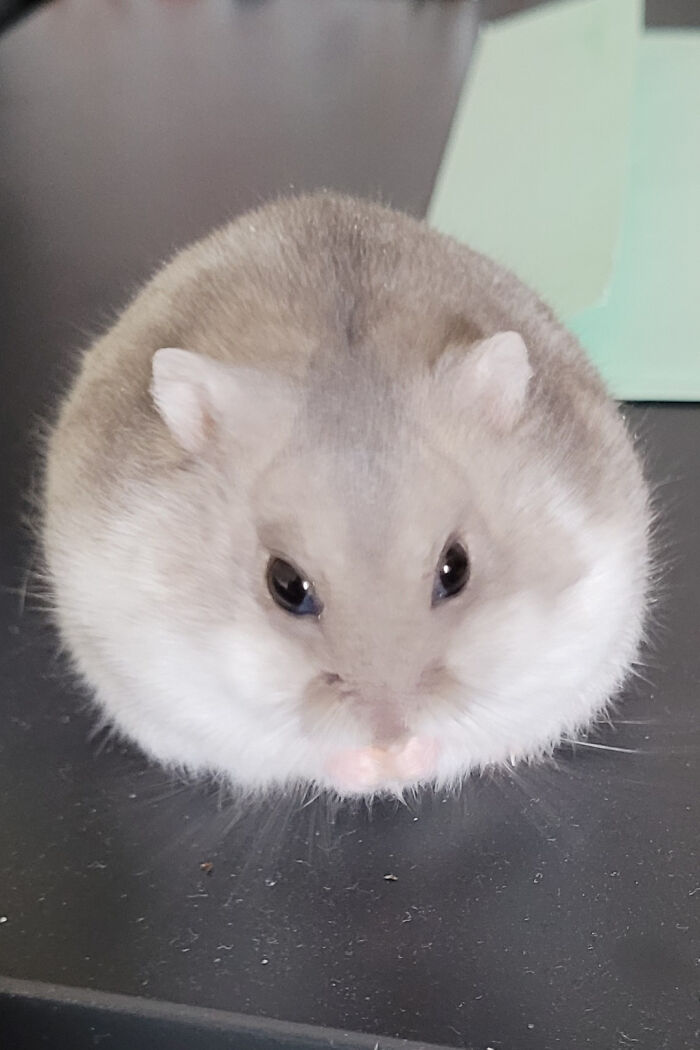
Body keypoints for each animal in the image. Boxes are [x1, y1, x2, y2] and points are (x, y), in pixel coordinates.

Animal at [42, 193, 650, 797]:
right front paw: (376, 767)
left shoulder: (575, 635)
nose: (390, 735)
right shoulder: (175, 681)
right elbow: (305, 749)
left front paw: (403, 763)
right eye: (286, 586)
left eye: (456, 568)